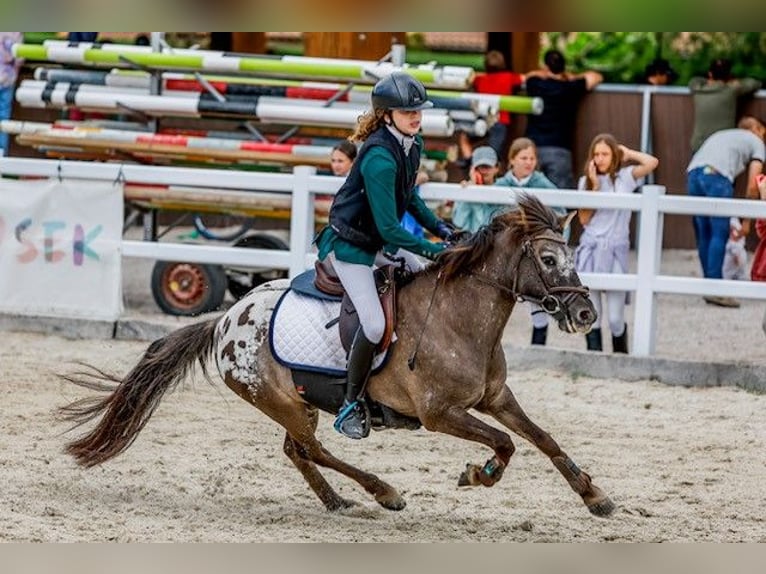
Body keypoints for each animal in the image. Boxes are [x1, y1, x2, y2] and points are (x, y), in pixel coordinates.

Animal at [60, 194, 616, 516]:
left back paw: (337, 500)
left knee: (297, 451)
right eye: (549, 259)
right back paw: (382, 492)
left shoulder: (496, 397)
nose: (587, 313)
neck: (459, 319)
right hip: (279, 401)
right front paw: (479, 474)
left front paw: (595, 497)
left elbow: (542, 438)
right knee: (315, 449)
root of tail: (224, 319)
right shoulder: (440, 414)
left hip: (298, 402)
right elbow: (505, 443)